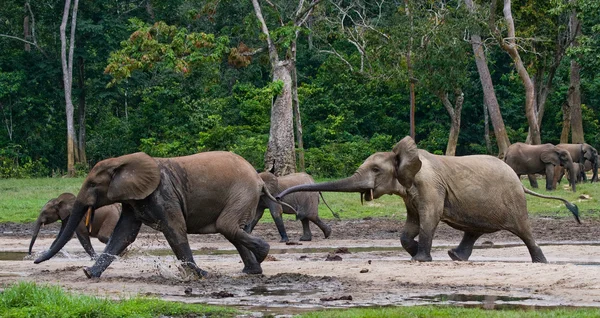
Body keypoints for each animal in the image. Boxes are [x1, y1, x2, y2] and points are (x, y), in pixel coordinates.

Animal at [34, 152, 284, 278]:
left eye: (94, 185)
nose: (34, 259)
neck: (123, 161)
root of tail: (259, 179)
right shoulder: (133, 198)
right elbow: (122, 235)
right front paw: (89, 274)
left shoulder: (163, 193)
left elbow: (175, 230)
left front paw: (200, 274)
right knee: (233, 230)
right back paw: (252, 270)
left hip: (243, 192)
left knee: (227, 226)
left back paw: (262, 253)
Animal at [278, 137, 580, 264]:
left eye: (375, 170)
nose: (280, 196)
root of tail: (518, 183)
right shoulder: (412, 193)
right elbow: (410, 225)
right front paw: (413, 253)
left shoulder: (429, 187)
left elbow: (428, 220)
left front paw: (420, 259)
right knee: (473, 230)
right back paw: (455, 257)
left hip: (514, 200)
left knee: (523, 229)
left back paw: (541, 262)